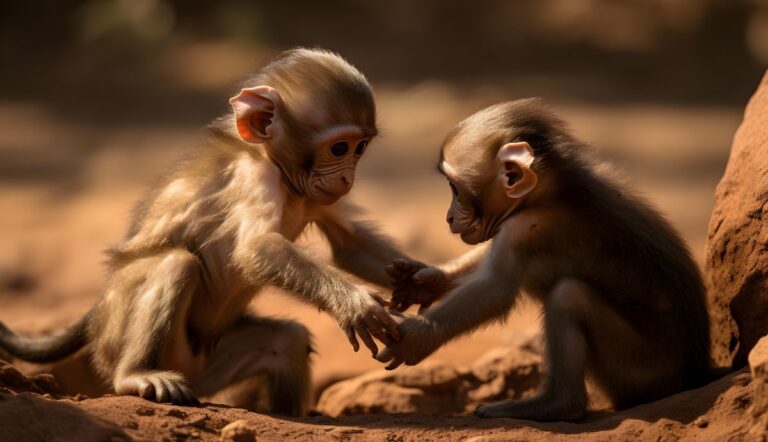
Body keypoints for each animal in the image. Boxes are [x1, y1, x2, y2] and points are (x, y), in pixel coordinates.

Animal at [0, 48, 407, 416]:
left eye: (360, 148)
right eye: (339, 148)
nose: (347, 178)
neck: (282, 173)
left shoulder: (317, 196)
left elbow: (348, 245)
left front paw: (418, 281)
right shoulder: (253, 177)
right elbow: (257, 249)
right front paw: (354, 304)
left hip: (211, 364)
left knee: (287, 340)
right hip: (122, 337)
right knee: (175, 263)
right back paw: (137, 375)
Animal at [379, 98, 716, 421]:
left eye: (454, 188)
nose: (448, 217)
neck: (548, 191)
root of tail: (694, 373)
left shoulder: (523, 226)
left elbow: (494, 288)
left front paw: (413, 338)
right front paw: (427, 281)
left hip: (643, 365)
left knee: (569, 295)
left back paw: (555, 405)